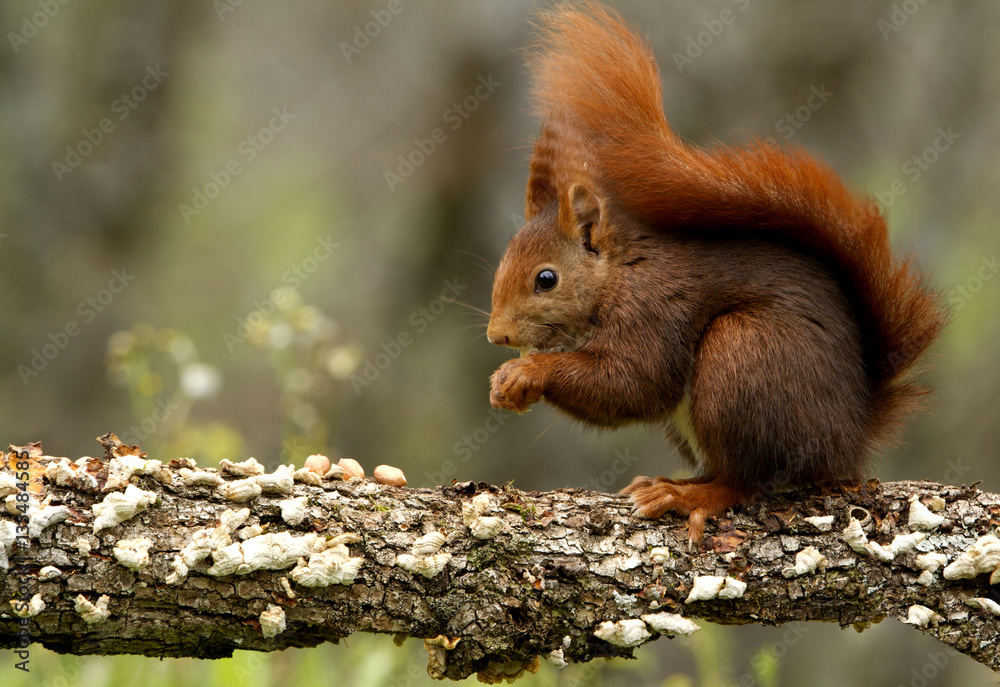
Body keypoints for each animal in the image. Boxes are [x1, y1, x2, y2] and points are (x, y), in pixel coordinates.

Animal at [486, 3, 946, 545]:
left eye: (546, 279)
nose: (497, 335)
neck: (618, 276)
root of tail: (849, 432)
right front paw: (503, 381)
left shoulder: (653, 310)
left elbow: (633, 382)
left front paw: (528, 372)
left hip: (743, 356)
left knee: (748, 479)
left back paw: (689, 496)